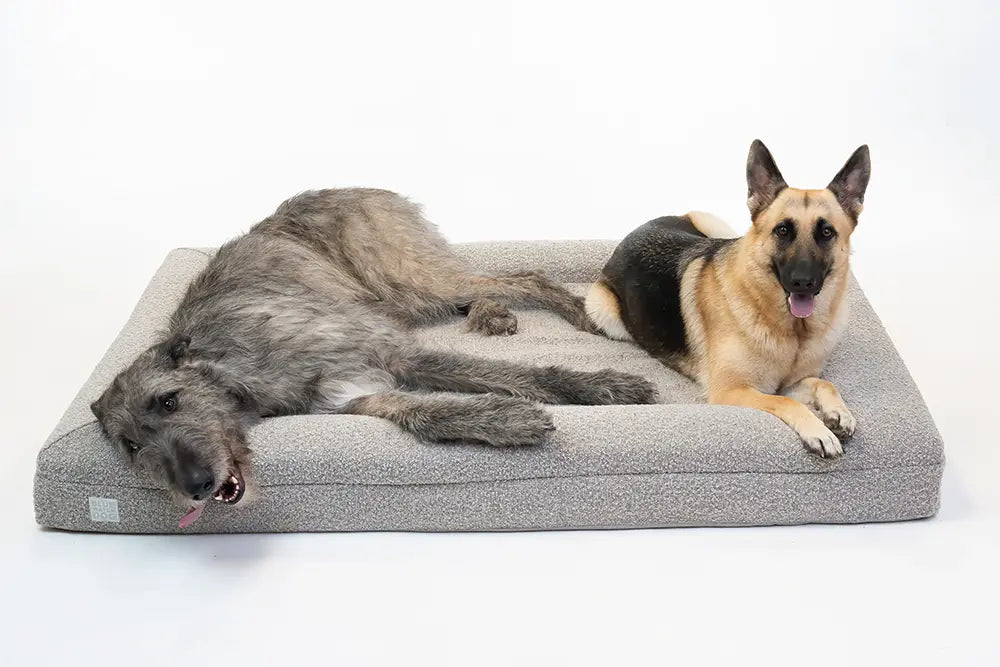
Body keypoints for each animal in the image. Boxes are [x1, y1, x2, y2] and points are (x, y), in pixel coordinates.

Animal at [92, 188, 656, 520]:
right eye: (132, 446)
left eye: (170, 401)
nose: (196, 486)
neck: (235, 373)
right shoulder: (355, 396)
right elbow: (429, 414)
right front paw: (506, 419)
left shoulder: (391, 351)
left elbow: (511, 372)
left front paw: (606, 386)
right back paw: (492, 313)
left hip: (405, 273)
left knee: (523, 276)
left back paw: (580, 314)